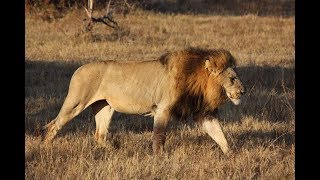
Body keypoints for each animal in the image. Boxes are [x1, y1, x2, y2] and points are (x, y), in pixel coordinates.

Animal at [42, 47, 245, 154]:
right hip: (76, 102)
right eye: (232, 78)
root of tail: (78, 69)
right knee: (53, 125)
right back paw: (46, 147)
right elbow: (159, 136)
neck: (200, 81)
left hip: (104, 107)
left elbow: (219, 134)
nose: (243, 91)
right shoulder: (163, 109)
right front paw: (159, 157)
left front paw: (230, 154)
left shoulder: (203, 113)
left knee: (99, 134)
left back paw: (113, 150)